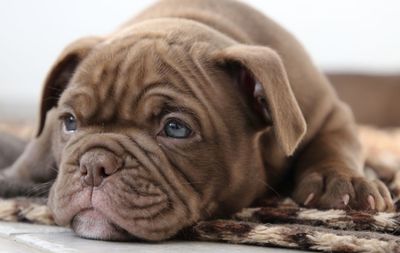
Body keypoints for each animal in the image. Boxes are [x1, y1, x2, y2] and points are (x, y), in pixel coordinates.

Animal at [0, 0, 394, 241]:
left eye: (176, 128)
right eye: (69, 122)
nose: (93, 164)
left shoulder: (328, 112)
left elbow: (334, 143)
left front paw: (342, 181)